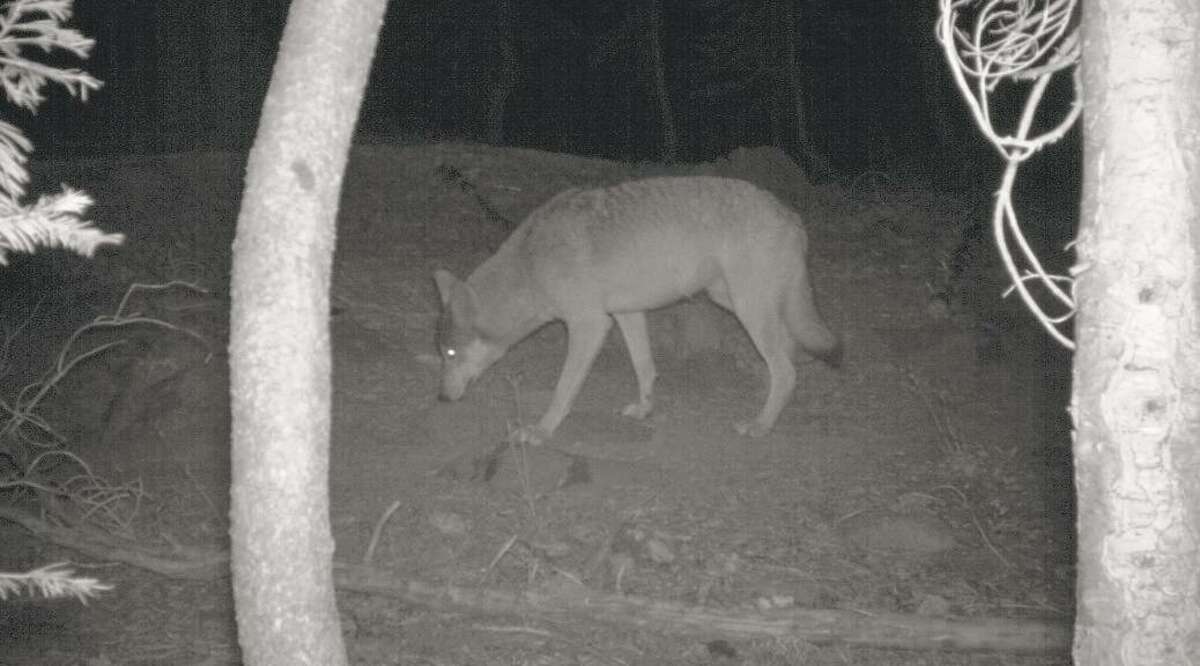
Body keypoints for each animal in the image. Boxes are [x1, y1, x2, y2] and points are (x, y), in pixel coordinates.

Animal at [434, 176, 840, 444]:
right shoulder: (626, 314)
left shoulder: (589, 325)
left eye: (450, 353)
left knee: (785, 370)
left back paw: (760, 425)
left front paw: (541, 430)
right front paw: (645, 410)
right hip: (732, 299)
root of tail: (790, 214)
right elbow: (645, 368)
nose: (441, 398)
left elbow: (563, 389)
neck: (531, 265)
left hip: (746, 308)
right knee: (789, 353)